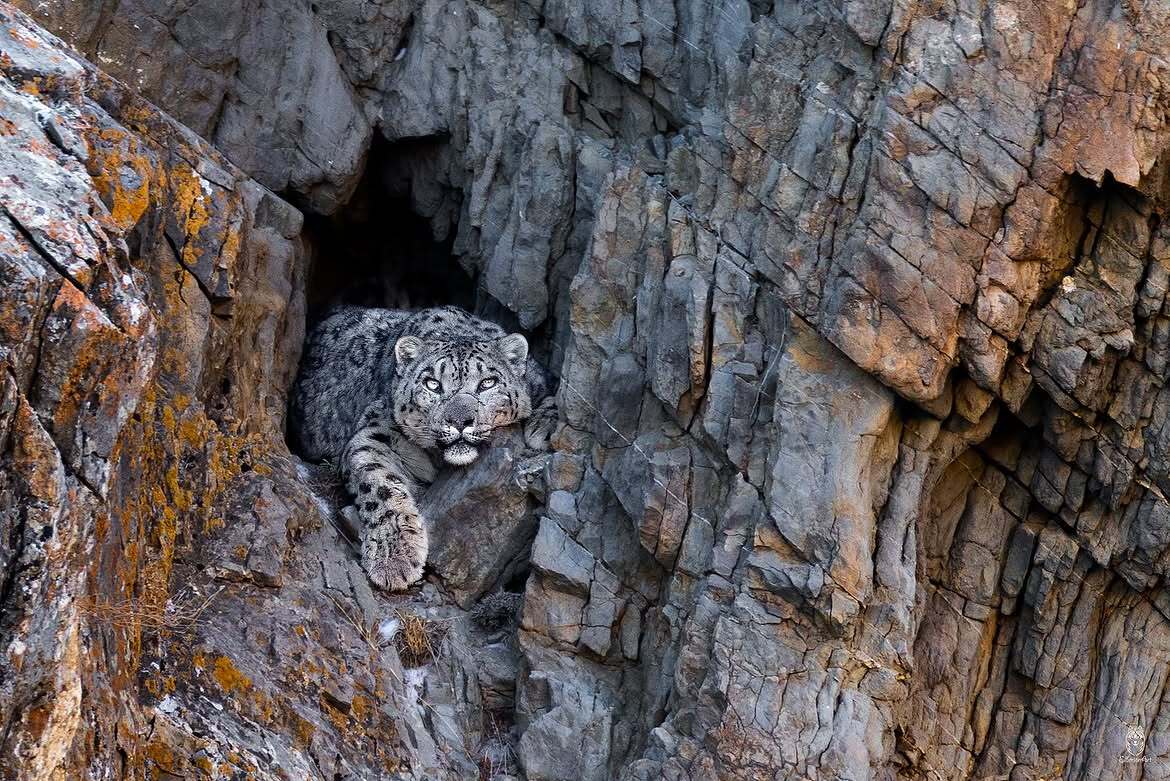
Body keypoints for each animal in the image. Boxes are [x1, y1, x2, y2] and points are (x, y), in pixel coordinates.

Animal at [290, 305, 557, 591]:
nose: (459, 420)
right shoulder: (374, 434)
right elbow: (379, 485)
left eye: (487, 383)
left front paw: (545, 426)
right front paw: (394, 558)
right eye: (433, 384)